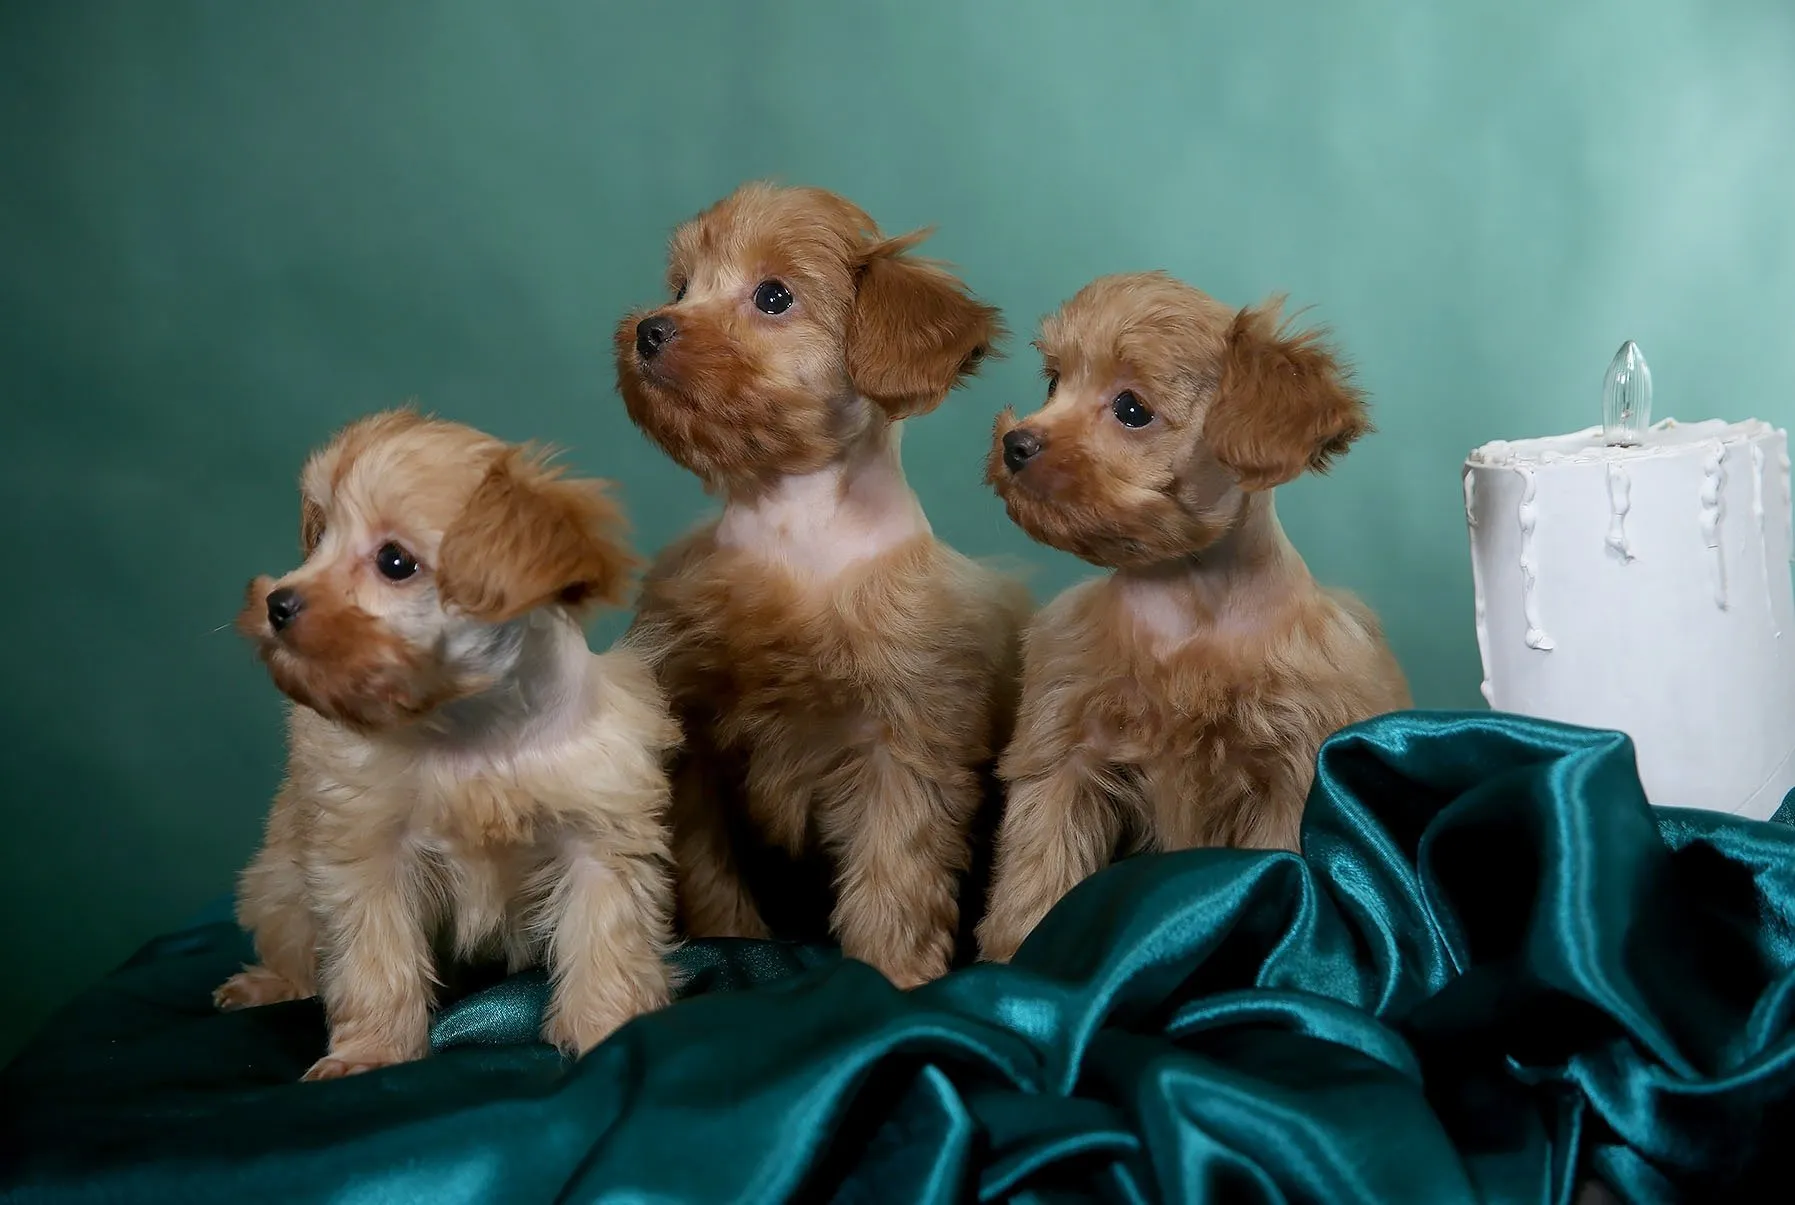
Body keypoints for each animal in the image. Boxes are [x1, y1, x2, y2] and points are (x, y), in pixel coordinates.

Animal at [215, 409, 678, 1077]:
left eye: (395, 562)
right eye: (320, 536)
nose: (277, 603)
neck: (472, 725)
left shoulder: (601, 837)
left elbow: (606, 944)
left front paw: (609, 1028)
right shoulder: (367, 854)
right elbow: (375, 960)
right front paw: (373, 1052)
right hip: (277, 884)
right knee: (295, 946)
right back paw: (271, 982)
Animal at [617, 181, 1033, 991]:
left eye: (773, 296)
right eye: (681, 287)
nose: (650, 329)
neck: (790, 517)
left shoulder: (902, 743)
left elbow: (895, 872)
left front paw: (894, 971)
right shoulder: (695, 746)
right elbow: (709, 871)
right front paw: (731, 943)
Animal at [976, 271, 1407, 962]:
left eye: (1131, 409)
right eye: (1053, 383)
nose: (1016, 443)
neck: (1189, 606)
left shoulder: (1287, 774)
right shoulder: (1068, 755)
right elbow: (1038, 870)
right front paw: (1016, 956)